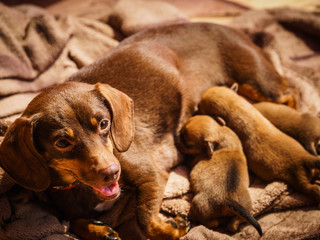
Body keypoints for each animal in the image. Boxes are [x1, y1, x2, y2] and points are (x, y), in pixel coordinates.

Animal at [0, 22, 296, 240]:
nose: (113, 172)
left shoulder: (152, 176)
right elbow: (74, 222)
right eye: (62, 142)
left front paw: (173, 227)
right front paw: (100, 231)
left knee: (288, 95)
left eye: (104, 124)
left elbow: (145, 220)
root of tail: (236, 30)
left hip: (258, 81)